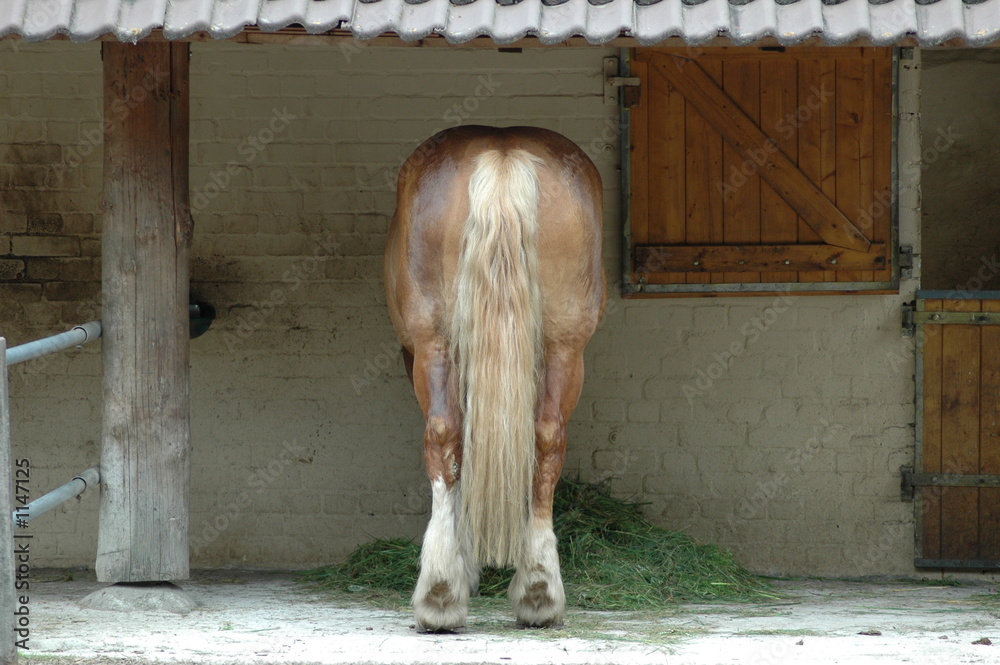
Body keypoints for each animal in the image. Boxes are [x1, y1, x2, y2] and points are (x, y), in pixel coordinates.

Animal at [384, 125, 605, 631]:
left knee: (444, 434)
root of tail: (503, 153)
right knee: (545, 437)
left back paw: (441, 592)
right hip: (566, 346)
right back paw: (538, 588)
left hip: (432, 342)